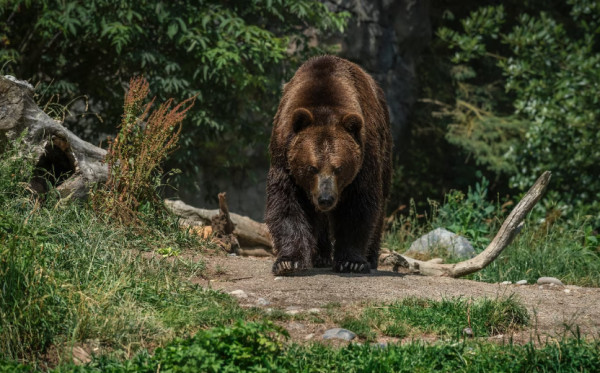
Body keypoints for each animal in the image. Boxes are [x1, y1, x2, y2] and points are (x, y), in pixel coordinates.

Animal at [264, 56, 392, 276]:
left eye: (339, 168)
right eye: (312, 167)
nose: (326, 198)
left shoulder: (365, 156)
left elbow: (359, 205)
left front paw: (352, 262)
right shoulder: (284, 154)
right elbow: (286, 202)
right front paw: (289, 261)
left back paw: (370, 258)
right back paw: (320, 256)